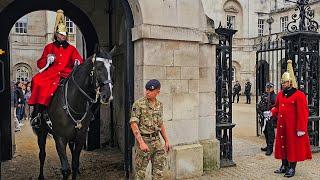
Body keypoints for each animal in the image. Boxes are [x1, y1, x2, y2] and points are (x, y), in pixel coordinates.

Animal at [33, 48, 114, 179]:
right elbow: (66, 169)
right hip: (42, 131)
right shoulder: (59, 138)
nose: (108, 96)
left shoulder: (80, 137)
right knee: (42, 154)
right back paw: (41, 176)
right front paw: (50, 58)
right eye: (98, 68)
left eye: (113, 69)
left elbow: (75, 164)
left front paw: (77, 170)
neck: (74, 103)